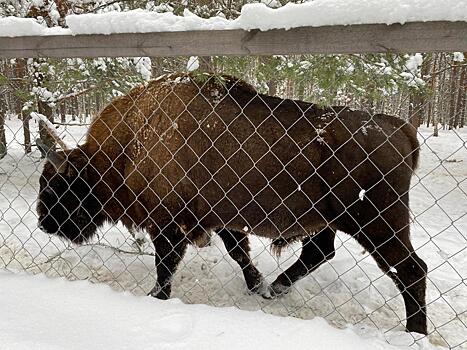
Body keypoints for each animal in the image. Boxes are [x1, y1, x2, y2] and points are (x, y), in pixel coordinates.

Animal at [37, 73, 428, 334]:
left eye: (59, 185)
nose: (44, 221)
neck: (127, 147)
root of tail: (400, 128)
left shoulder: (169, 225)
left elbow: (165, 267)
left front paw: (155, 298)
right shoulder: (220, 219)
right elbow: (238, 252)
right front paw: (256, 284)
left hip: (377, 225)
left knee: (412, 269)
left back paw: (416, 332)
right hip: (329, 221)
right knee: (320, 252)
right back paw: (275, 288)